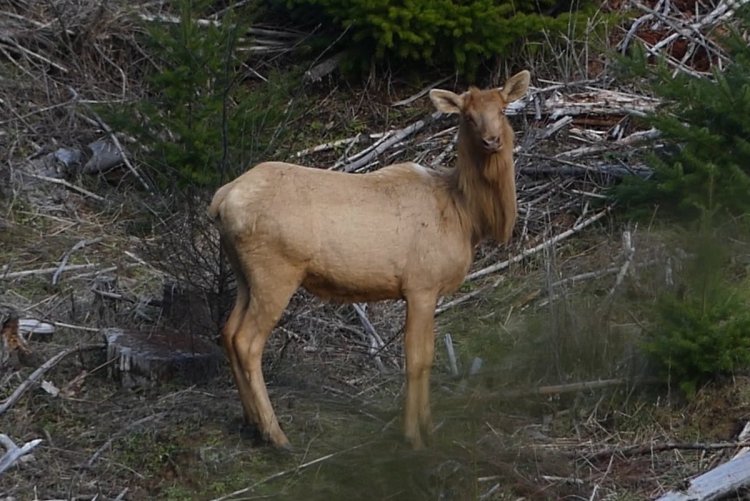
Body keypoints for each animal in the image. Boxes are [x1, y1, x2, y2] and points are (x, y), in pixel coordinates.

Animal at [208, 70, 530, 449]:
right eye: (467, 116)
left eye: (502, 109)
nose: (492, 140)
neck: (466, 216)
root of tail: (221, 200)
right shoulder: (421, 284)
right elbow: (415, 359)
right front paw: (413, 436)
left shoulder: (430, 290)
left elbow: (430, 356)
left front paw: (430, 427)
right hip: (275, 270)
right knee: (247, 341)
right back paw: (277, 435)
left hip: (245, 273)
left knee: (228, 332)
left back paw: (251, 424)